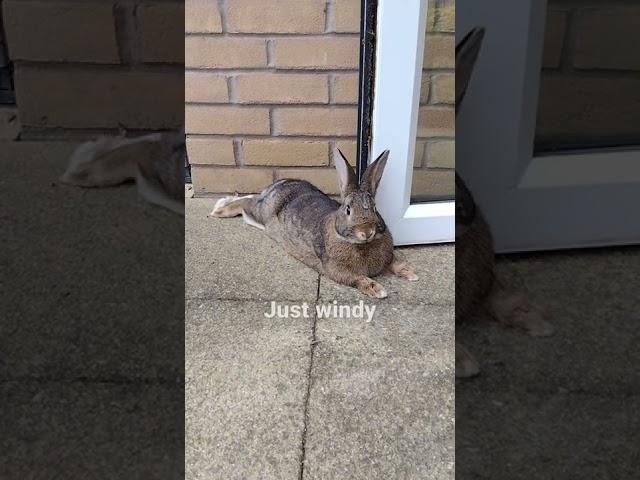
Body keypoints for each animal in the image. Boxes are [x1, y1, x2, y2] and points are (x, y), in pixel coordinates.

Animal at [211, 150, 420, 298]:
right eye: (348, 210)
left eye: (375, 209)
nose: (367, 231)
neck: (362, 244)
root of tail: (280, 183)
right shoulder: (336, 270)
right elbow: (356, 279)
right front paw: (378, 289)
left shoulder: (387, 258)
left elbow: (394, 263)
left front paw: (411, 273)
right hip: (263, 212)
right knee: (247, 203)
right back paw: (220, 209)